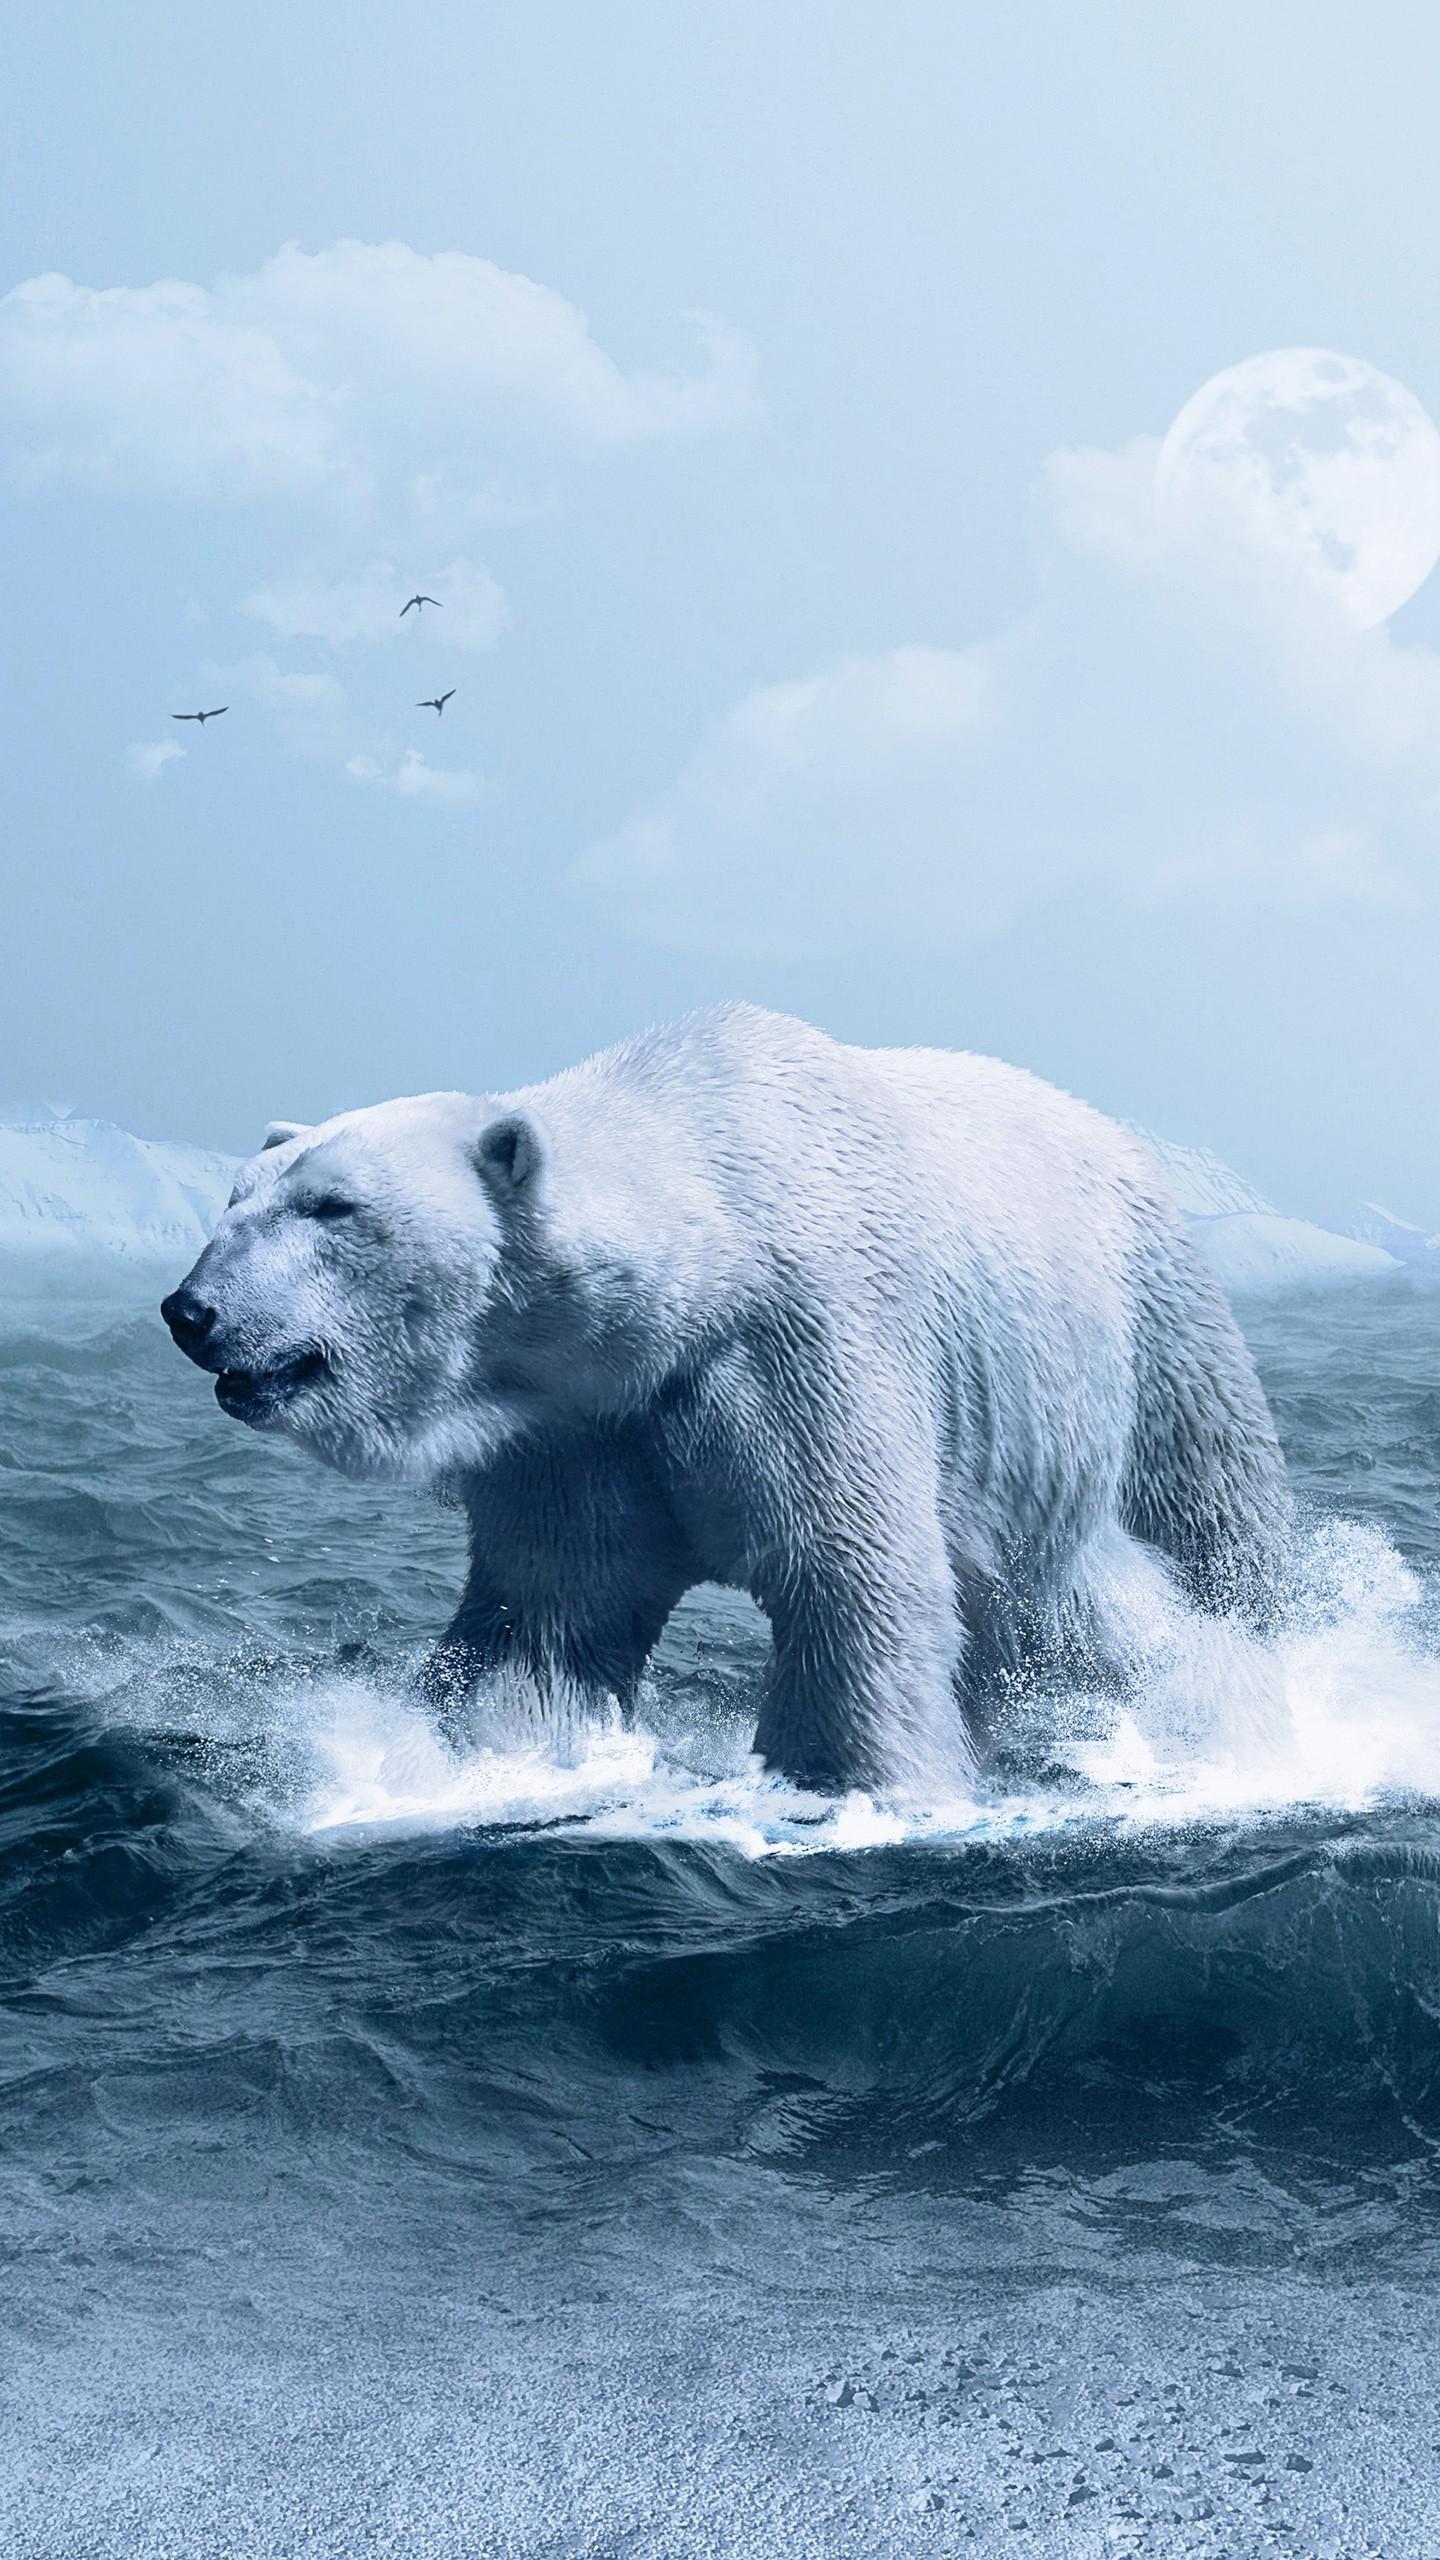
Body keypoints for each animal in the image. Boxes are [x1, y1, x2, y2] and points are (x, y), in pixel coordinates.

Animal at [161, 1004, 1290, 1795]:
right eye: (236, 1198)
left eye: (332, 1206)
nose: (190, 1310)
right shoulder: (581, 1426)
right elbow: (548, 1611)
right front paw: (479, 1752)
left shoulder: (802, 1344)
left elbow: (849, 1573)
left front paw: (849, 1782)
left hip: (1146, 1328)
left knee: (1194, 1529)